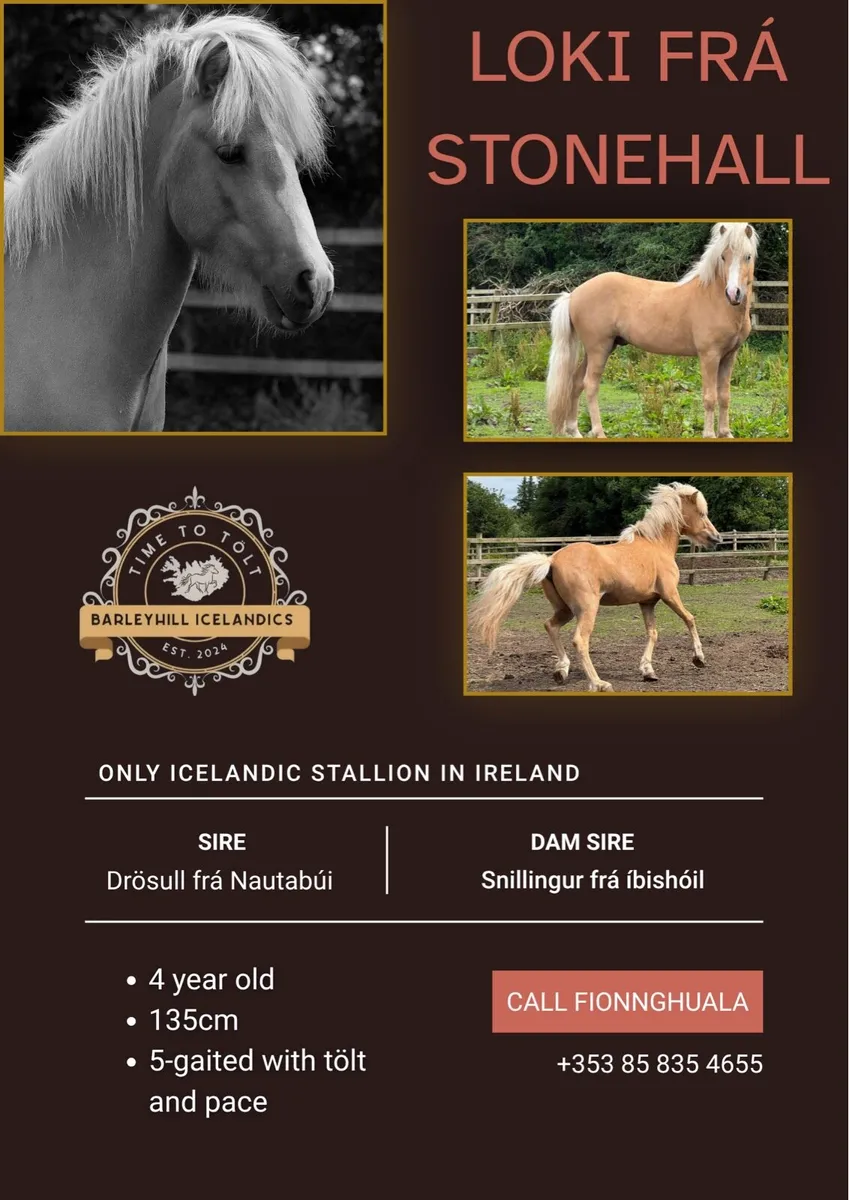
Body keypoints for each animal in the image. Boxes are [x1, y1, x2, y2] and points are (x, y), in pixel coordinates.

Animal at [468, 483, 721, 692]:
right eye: (702, 513)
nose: (716, 538)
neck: (655, 545)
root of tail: (551, 560)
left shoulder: (647, 602)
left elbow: (653, 633)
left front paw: (648, 671)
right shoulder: (669, 594)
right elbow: (689, 619)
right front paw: (699, 658)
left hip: (566, 610)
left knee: (550, 626)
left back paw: (562, 671)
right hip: (587, 608)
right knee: (580, 640)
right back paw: (599, 683)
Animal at [546, 223, 758, 440]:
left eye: (748, 256)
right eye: (723, 256)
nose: (733, 294)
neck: (714, 299)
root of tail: (574, 294)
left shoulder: (729, 356)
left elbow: (724, 396)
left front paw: (725, 433)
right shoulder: (709, 356)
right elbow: (710, 397)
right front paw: (709, 434)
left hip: (596, 350)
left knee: (576, 382)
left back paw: (574, 430)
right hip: (599, 349)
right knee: (590, 385)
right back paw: (598, 432)